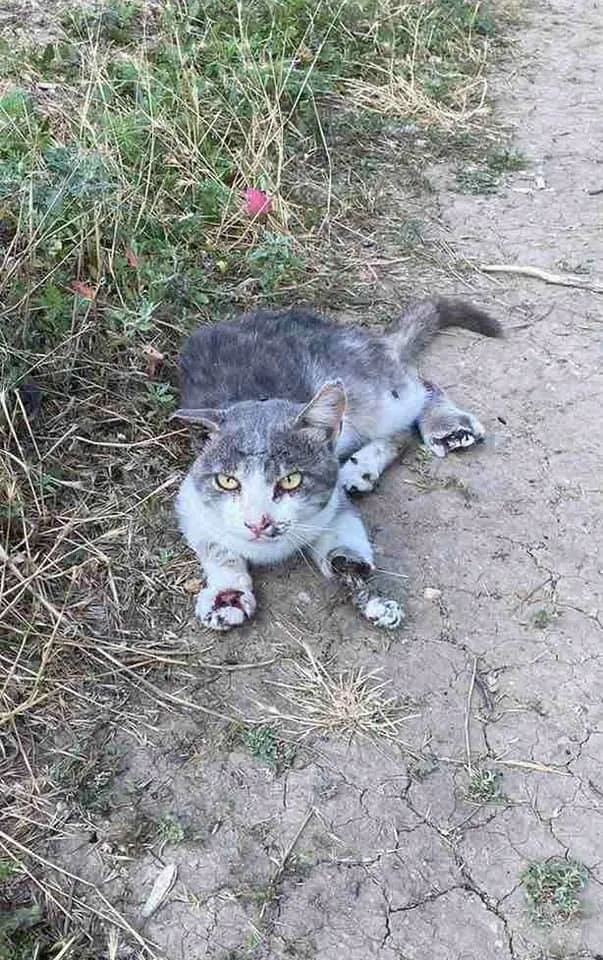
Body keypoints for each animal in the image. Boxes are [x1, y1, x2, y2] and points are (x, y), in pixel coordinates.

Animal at [172, 298, 502, 632]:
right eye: (227, 481)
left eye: (291, 480)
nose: (258, 523)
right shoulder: (190, 503)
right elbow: (217, 549)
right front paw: (226, 594)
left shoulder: (333, 500)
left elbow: (344, 527)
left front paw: (349, 564)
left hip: (373, 397)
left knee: (418, 387)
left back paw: (442, 427)